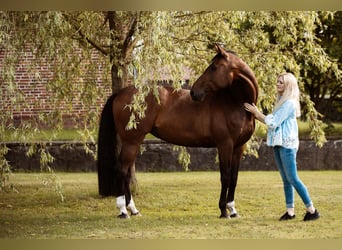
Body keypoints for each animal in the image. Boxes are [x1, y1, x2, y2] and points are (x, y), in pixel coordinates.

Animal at [96, 45, 256, 219]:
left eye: (214, 67)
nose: (194, 92)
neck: (235, 102)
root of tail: (121, 93)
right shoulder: (224, 145)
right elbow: (225, 177)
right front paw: (223, 210)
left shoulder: (239, 147)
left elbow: (234, 178)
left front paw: (233, 210)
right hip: (132, 142)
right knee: (121, 170)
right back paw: (123, 211)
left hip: (132, 143)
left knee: (126, 173)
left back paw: (134, 210)